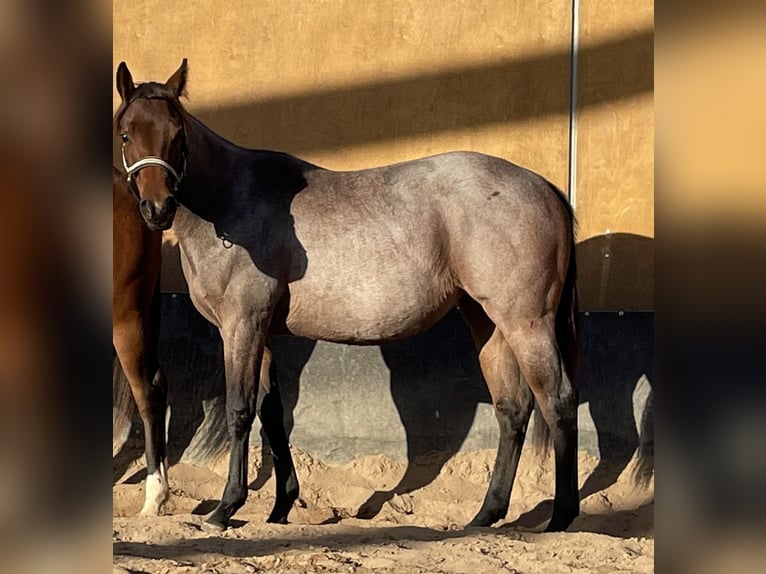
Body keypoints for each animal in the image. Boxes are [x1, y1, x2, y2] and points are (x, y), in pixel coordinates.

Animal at [115, 60, 584, 532]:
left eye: (178, 134)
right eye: (126, 134)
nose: (158, 208)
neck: (231, 201)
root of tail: (544, 187)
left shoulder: (241, 326)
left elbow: (240, 411)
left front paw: (226, 508)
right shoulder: (262, 333)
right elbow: (271, 415)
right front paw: (280, 508)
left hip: (527, 323)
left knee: (557, 401)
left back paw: (561, 516)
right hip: (487, 322)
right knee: (512, 409)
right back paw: (486, 515)